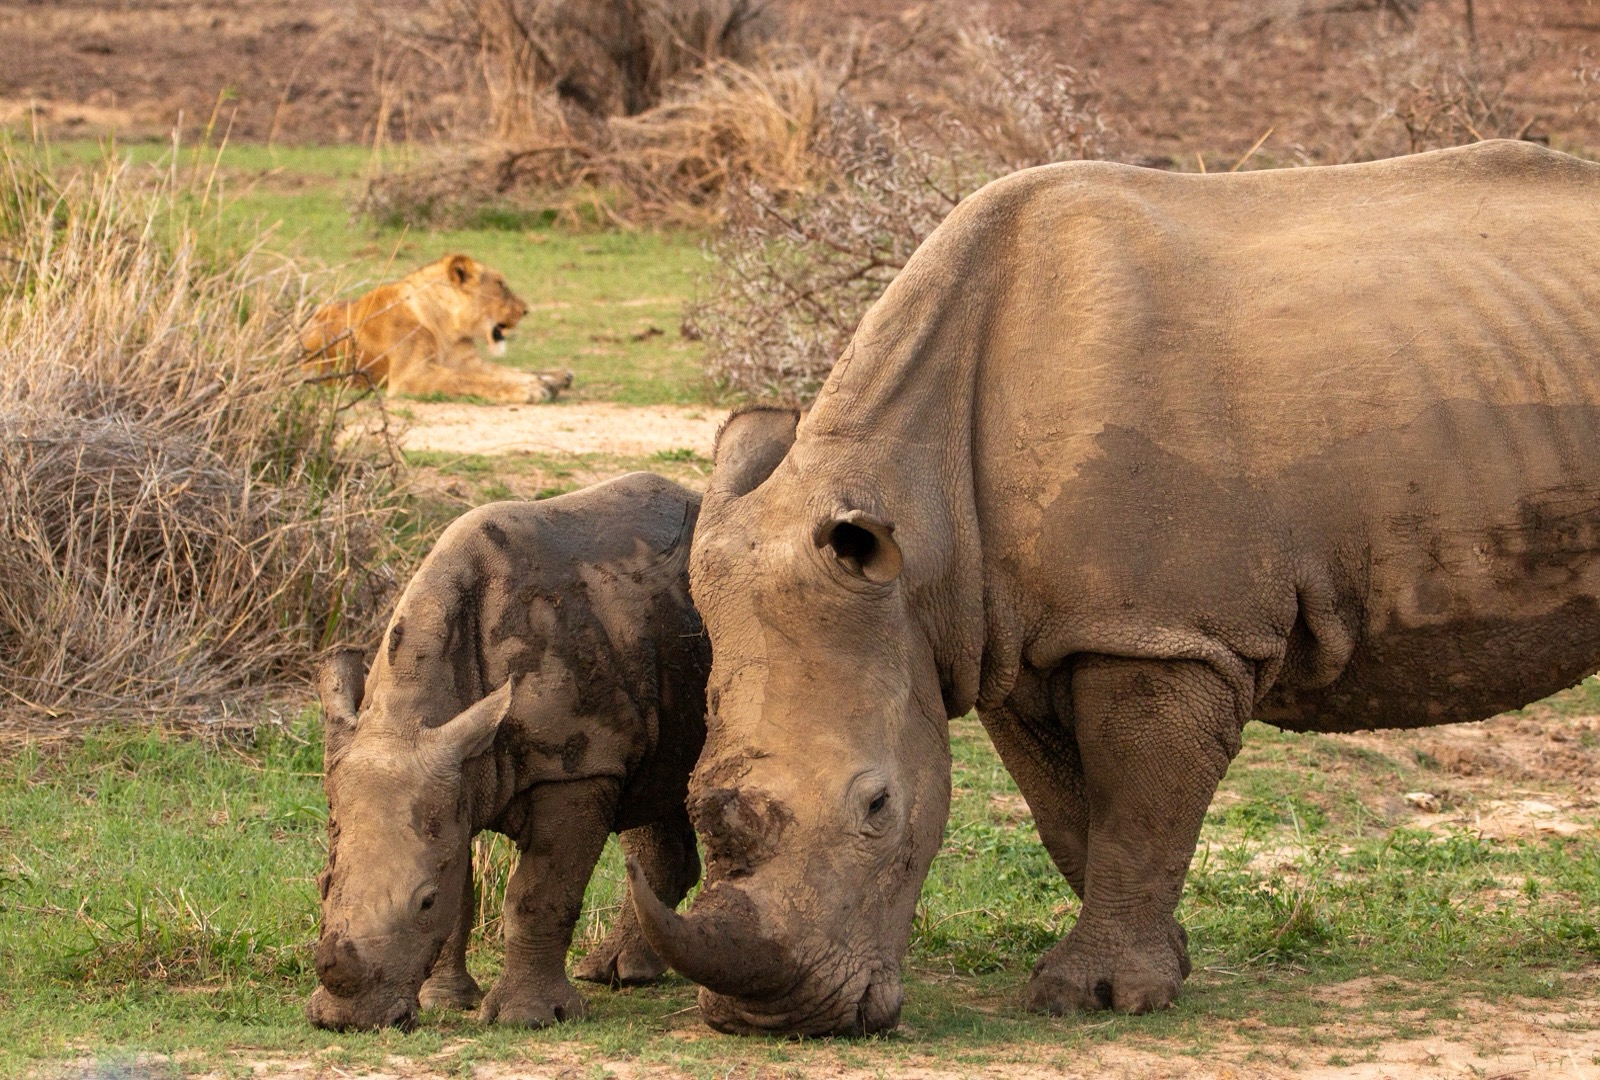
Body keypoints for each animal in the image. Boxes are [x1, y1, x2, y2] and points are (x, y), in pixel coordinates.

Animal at [307, 472, 708, 1031]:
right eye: (323, 884)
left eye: (423, 902)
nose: (345, 1022)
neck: (412, 717)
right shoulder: (453, 764)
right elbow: (460, 884)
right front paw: (445, 1000)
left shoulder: (578, 766)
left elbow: (538, 894)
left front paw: (528, 1018)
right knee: (657, 783)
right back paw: (616, 974)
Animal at [625, 141, 1600, 1035]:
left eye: (876, 806)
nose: (772, 1021)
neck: (917, 509)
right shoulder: (1006, 635)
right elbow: (1070, 812)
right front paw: (1159, 965)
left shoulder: (1162, 632)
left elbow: (1136, 805)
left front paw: (1096, 997)